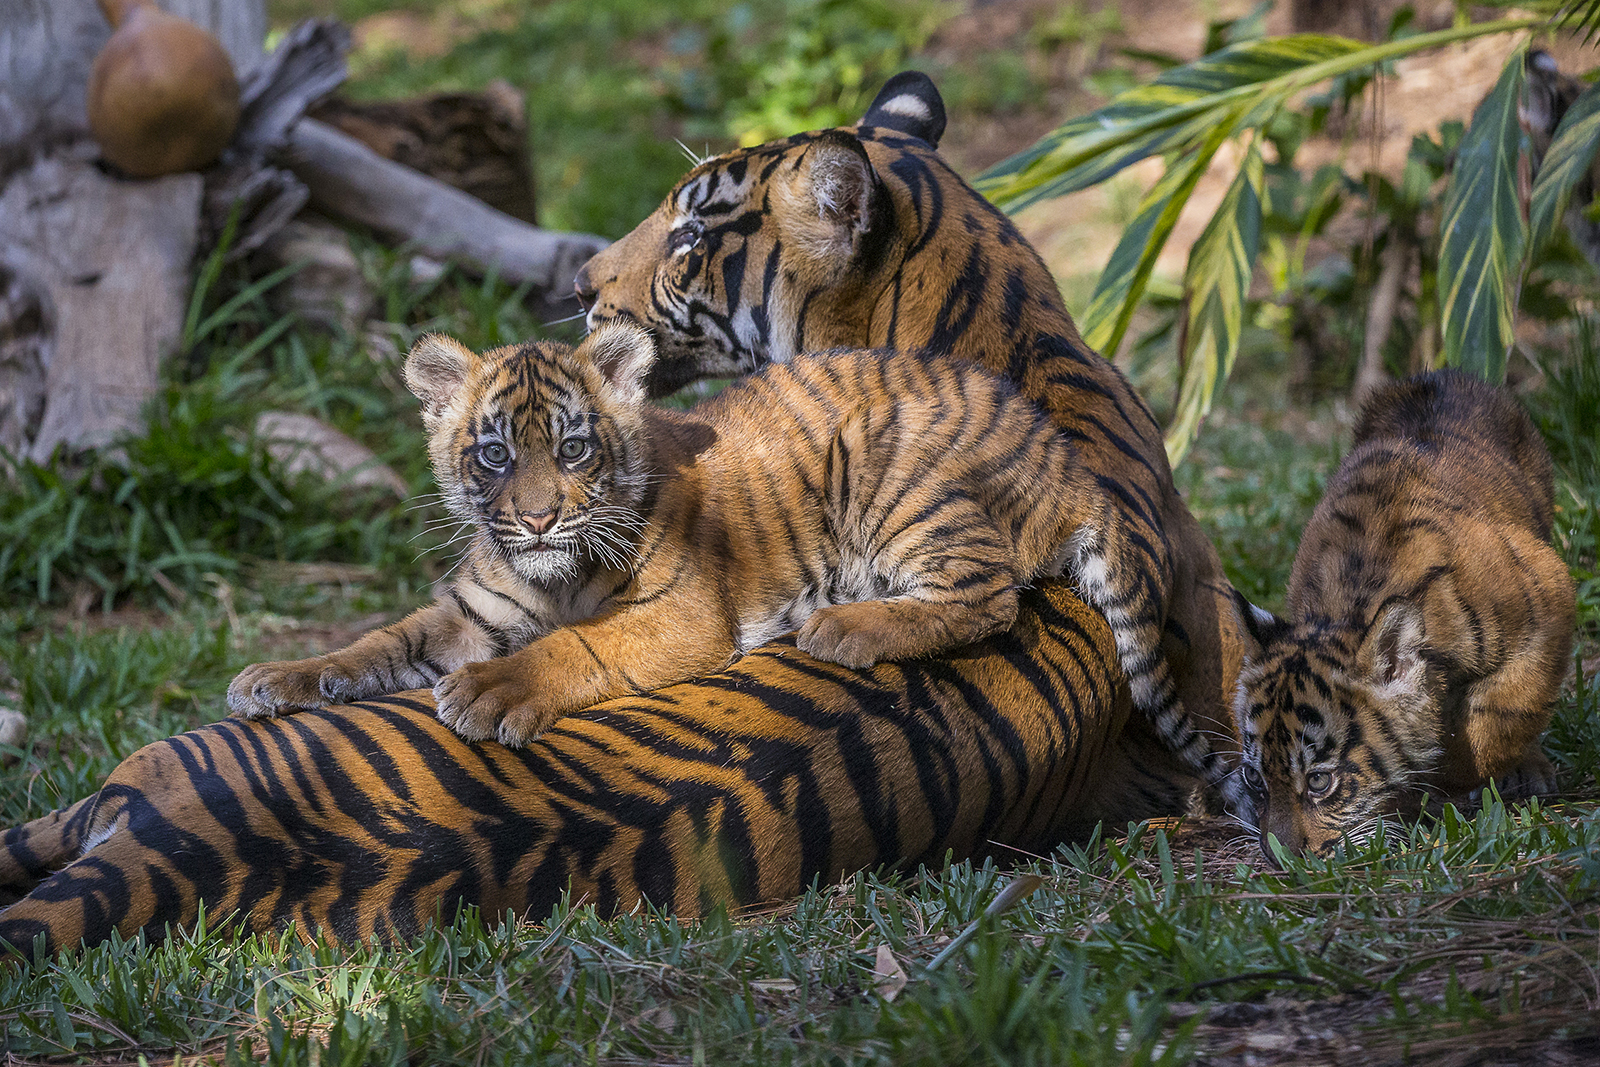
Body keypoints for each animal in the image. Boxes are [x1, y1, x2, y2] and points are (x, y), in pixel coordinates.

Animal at [0, 75, 1241, 959]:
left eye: (691, 236)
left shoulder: (666, 602)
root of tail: (177, 846)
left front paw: (493, 685)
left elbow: (574, 641)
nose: (583, 281)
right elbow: (387, 633)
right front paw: (287, 670)